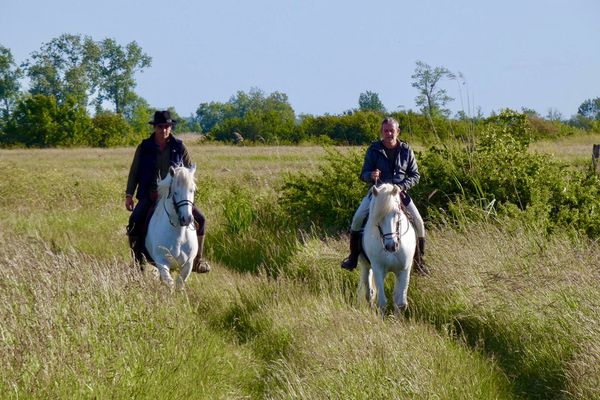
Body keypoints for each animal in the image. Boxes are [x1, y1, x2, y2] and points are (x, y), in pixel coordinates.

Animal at [358, 184, 414, 316]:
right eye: (377, 217)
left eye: (397, 213)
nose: (391, 246)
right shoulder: (378, 270)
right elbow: (382, 303)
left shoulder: (404, 270)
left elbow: (400, 303)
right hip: (366, 266)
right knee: (369, 293)